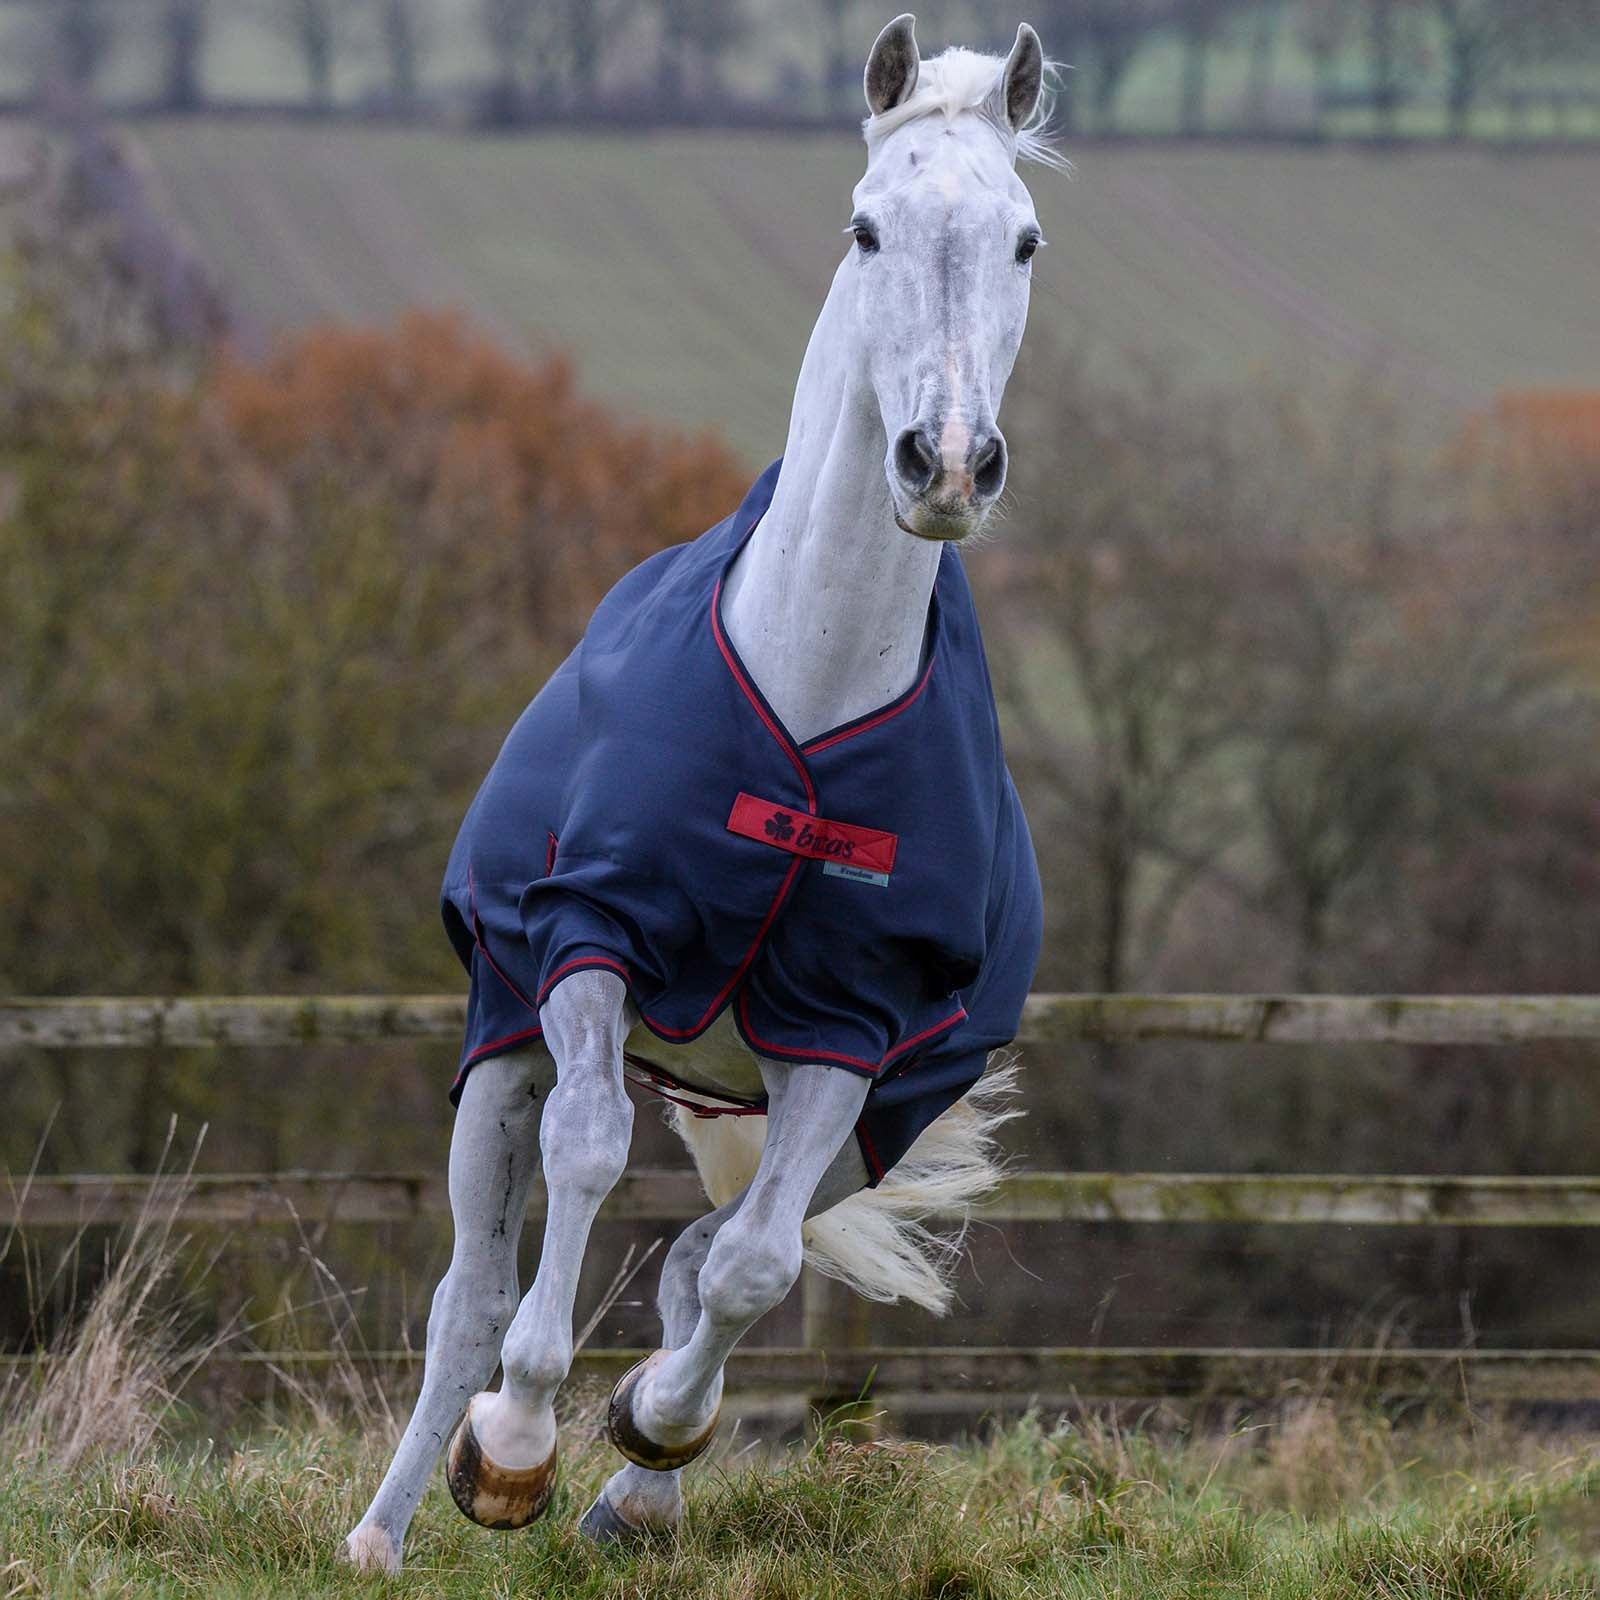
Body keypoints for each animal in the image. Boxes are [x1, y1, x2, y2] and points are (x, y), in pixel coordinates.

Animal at [343, 14, 1056, 1570]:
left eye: (1025, 240)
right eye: (865, 226)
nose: (948, 462)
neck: (814, 680)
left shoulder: (851, 1031)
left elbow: (748, 1268)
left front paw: (641, 1438)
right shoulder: (587, 942)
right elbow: (589, 1154)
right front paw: (515, 1440)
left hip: (852, 1115)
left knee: (706, 1258)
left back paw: (638, 1486)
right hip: (503, 1032)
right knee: (470, 1293)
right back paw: (387, 1526)